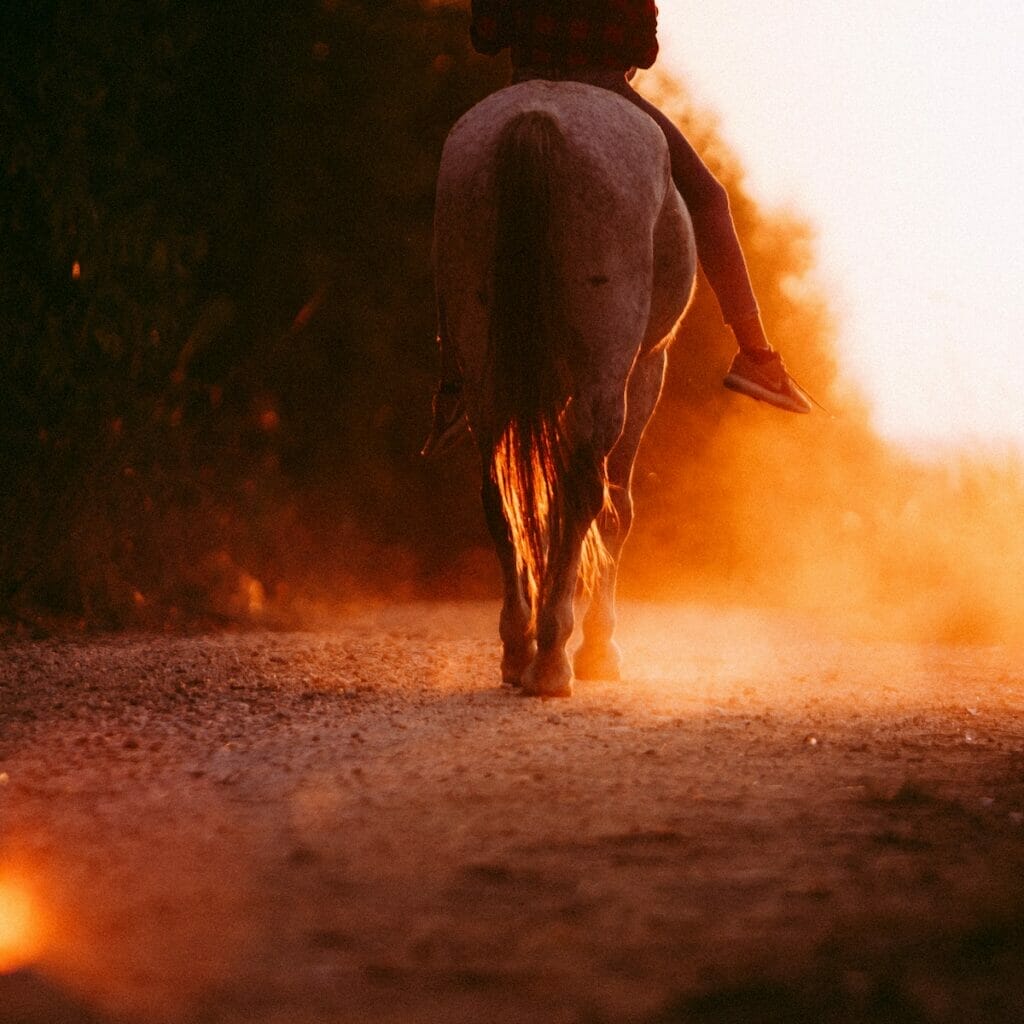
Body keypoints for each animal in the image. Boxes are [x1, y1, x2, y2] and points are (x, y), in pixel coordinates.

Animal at [432, 81, 696, 696]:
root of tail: (537, 120)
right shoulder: (645, 372)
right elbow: (616, 510)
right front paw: (601, 649)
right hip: (608, 371)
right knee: (585, 493)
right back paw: (553, 657)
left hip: (486, 371)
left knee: (497, 491)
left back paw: (518, 649)